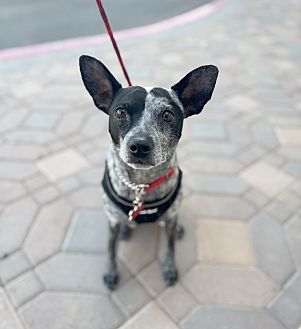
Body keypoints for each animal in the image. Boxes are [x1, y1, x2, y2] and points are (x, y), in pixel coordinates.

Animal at [78, 55, 217, 288]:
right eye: (120, 112)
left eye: (168, 115)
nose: (140, 145)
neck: (141, 185)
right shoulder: (112, 220)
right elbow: (110, 249)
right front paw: (111, 271)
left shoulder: (170, 218)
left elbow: (170, 248)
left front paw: (169, 268)